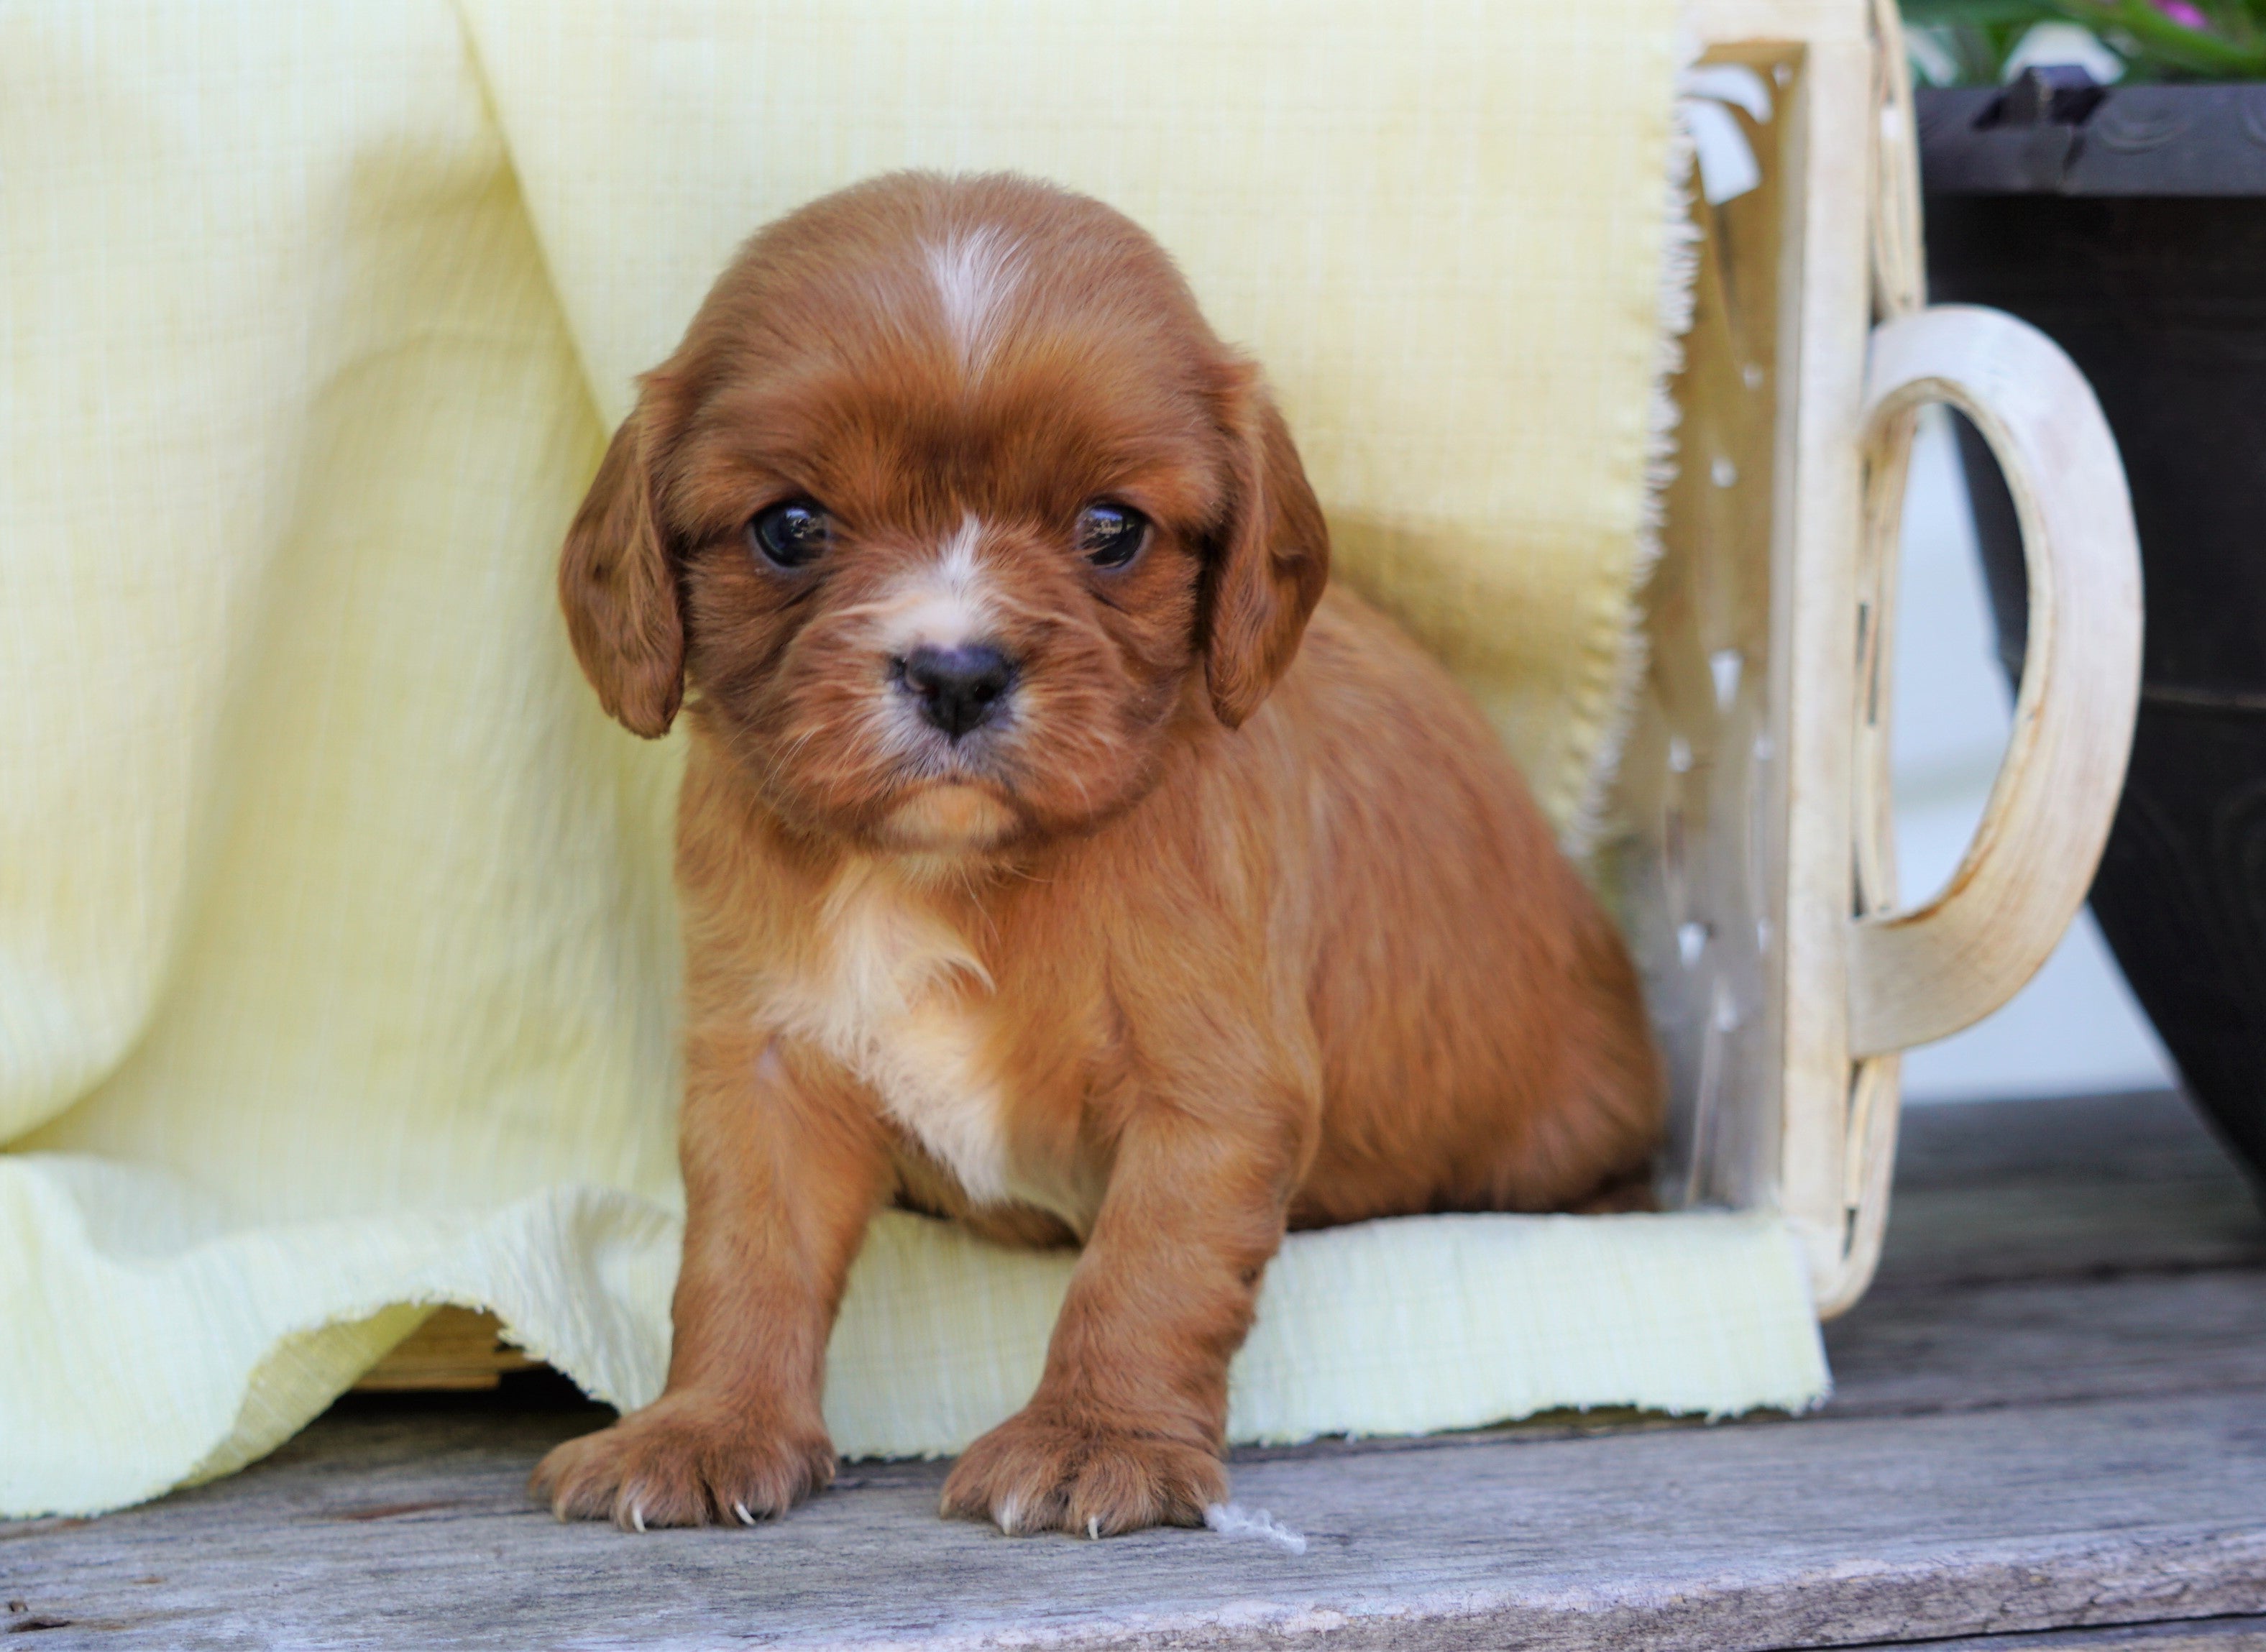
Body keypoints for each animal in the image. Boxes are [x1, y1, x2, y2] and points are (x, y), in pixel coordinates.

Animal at [532, 168, 1667, 1531]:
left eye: (1113, 529)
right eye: (791, 527)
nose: (956, 672)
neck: (952, 870)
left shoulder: (1213, 1081)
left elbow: (1149, 1265)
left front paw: (1094, 1437)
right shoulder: (767, 1059)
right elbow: (742, 1250)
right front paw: (705, 1424)